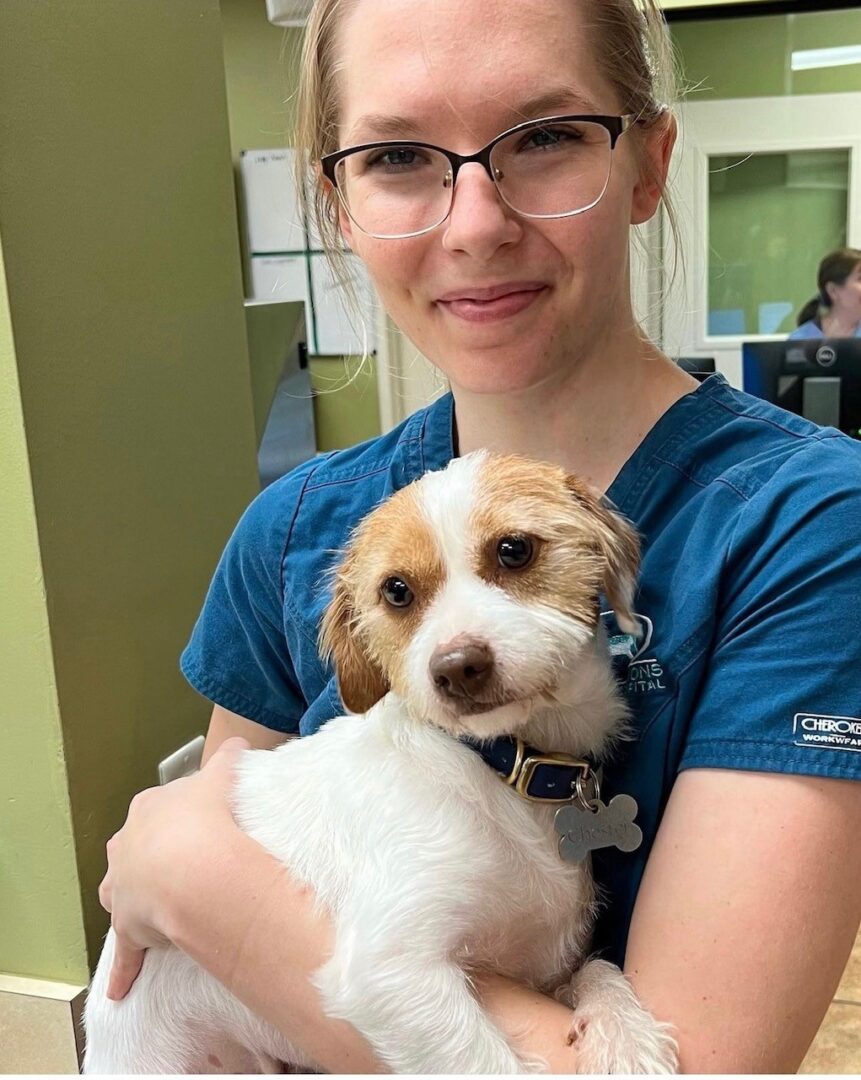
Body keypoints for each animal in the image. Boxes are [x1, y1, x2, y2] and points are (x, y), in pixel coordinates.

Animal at [87, 451, 678, 1075]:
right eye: (396, 591)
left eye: (514, 550)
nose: (457, 667)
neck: (503, 767)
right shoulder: (388, 971)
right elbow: (484, 1061)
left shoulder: (545, 965)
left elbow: (599, 969)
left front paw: (626, 1038)